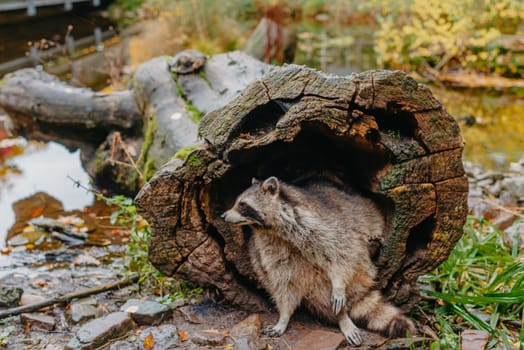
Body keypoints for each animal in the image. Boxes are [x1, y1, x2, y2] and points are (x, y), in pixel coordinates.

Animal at [221, 176, 414, 346]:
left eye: (242, 205)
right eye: (236, 201)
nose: (222, 216)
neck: (273, 230)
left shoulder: (320, 224)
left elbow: (342, 253)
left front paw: (338, 284)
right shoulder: (267, 247)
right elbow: (283, 283)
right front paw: (284, 316)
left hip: (363, 268)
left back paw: (343, 316)